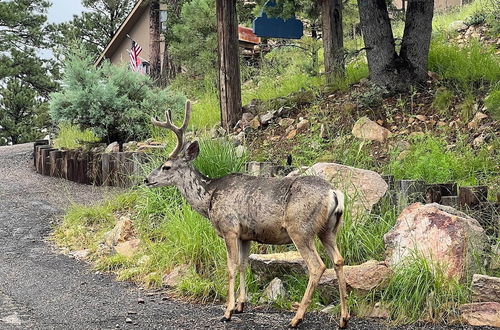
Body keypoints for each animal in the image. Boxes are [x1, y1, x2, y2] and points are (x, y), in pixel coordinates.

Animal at [144, 100, 348, 328]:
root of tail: (334, 193)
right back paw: (343, 318)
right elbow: (243, 265)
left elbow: (231, 267)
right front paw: (241, 304)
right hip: (328, 229)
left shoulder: (229, 229)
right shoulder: (246, 235)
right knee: (338, 260)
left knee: (316, 266)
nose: (146, 179)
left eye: (166, 166)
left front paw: (228, 311)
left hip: (300, 228)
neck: (208, 198)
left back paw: (297, 318)